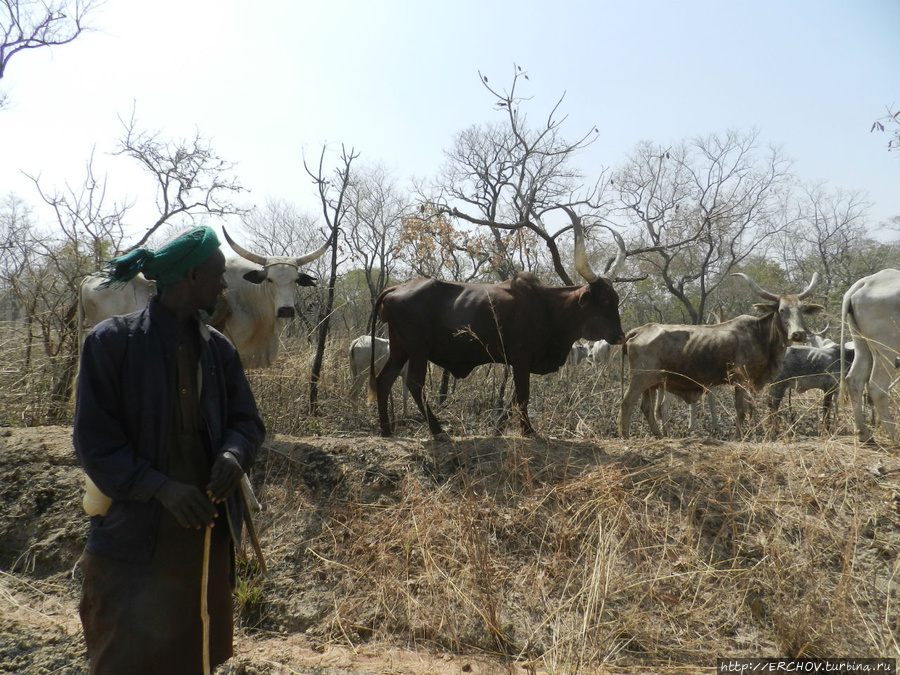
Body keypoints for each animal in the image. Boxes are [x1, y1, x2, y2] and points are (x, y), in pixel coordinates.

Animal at [366, 217, 624, 438]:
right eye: (603, 300)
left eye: (616, 298)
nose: (620, 336)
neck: (548, 306)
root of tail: (396, 288)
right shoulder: (522, 359)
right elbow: (523, 396)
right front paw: (528, 431)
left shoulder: (522, 363)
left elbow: (514, 400)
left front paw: (499, 430)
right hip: (417, 350)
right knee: (414, 384)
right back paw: (438, 431)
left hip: (400, 349)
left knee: (383, 380)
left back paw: (386, 431)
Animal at [620, 274, 824, 438]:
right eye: (782, 310)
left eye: (801, 310)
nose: (798, 334)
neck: (760, 335)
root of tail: (642, 328)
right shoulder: (740, 380)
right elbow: (741, 409)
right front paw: (739, 436)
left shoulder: (753, 383)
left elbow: (751, 408)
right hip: (639, 379)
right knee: (627, 403)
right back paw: (625, 436)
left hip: (651, 383)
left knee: (646, 408)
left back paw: (658, 435)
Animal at [840, 270, 900, 448]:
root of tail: (863, 283)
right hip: (887, 345)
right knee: (876, 387)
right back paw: (894, 437)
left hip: (860, 342)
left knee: (854, 379)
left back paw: (864, 435)